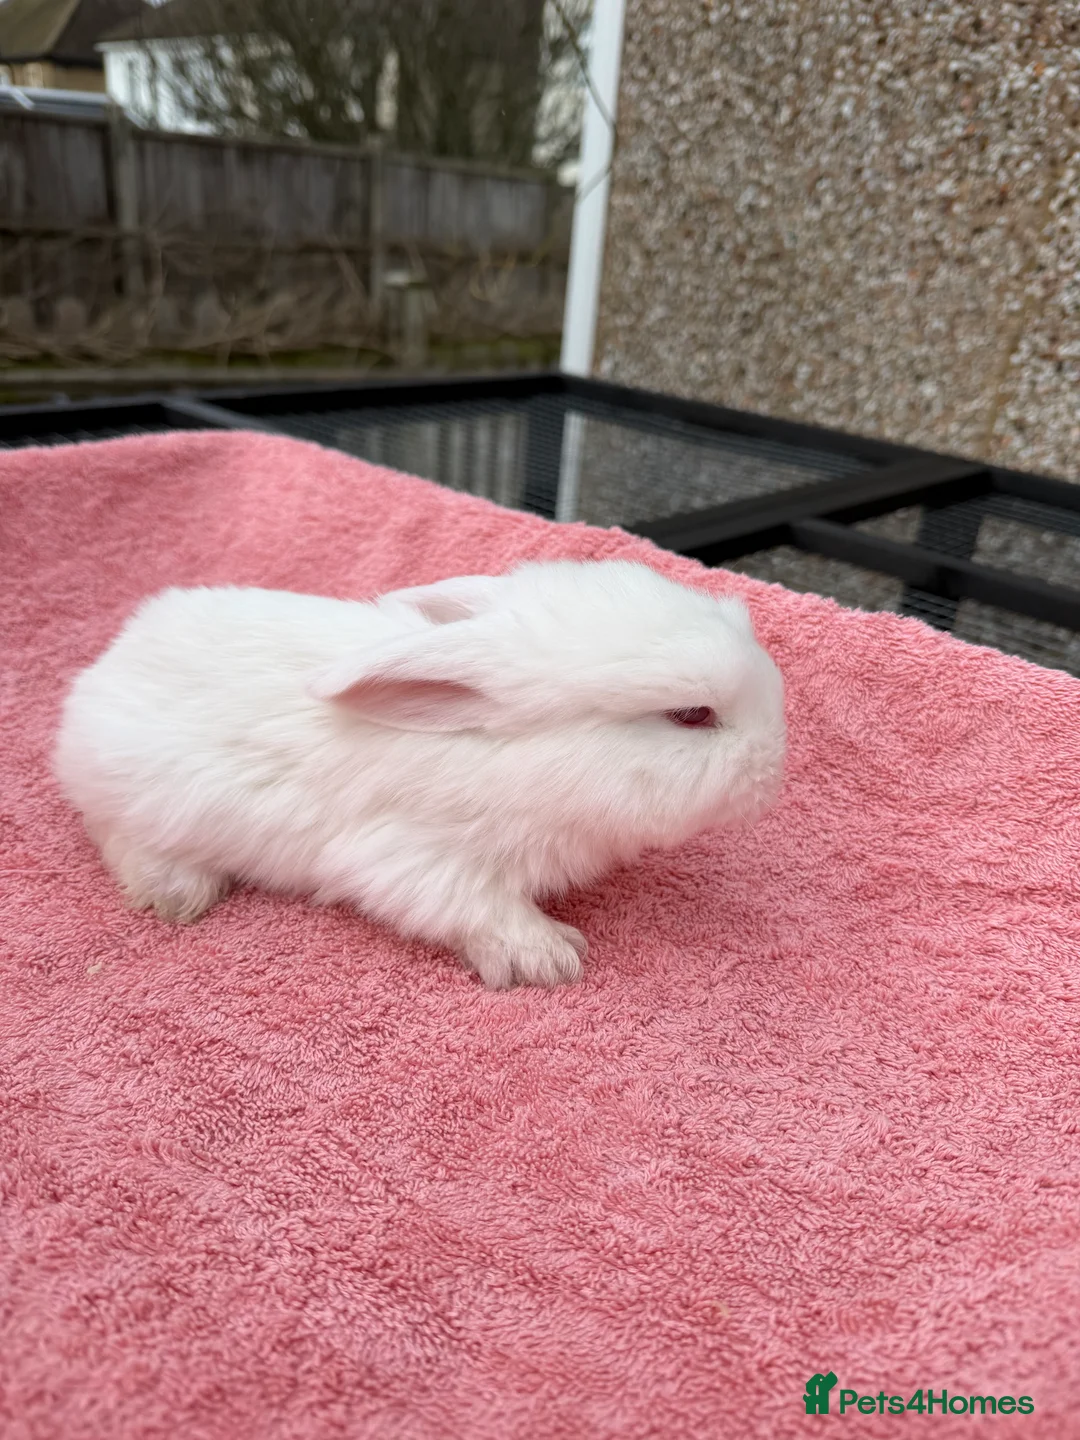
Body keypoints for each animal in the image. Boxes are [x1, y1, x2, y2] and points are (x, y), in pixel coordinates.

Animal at [53, 558, 786, 989]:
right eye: (692, 714)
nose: (774, 769)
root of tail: (109, 663)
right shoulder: (417, 859)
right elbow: (476, 908)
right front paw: (549, 957)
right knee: (116, 835)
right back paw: (176, 893)